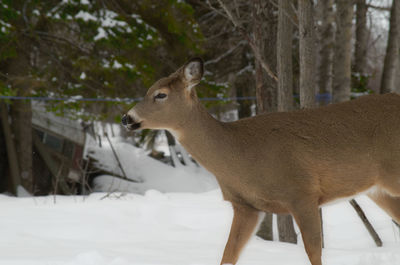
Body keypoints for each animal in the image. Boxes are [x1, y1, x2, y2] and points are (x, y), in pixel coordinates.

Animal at [122, 57, 400, 264]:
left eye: (160, 95)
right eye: (148, 91)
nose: (126, 118)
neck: (240, 155)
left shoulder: (302, 193)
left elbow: (314, 253)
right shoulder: (246, 206)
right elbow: (228, 254)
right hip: (378, 189)